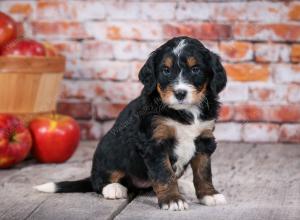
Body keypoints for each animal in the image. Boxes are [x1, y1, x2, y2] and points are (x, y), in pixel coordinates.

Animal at [34, 36, 227, 211]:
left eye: (195, 69)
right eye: (166, 70)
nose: (180, 93)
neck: (184, 112)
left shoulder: (204, 139)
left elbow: (203, 172)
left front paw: (209, 194)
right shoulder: (154, 143)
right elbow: (164, 174)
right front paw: (173, 200)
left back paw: (184, 185)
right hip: (107, 150)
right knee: (99, 181)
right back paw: (114, 188)